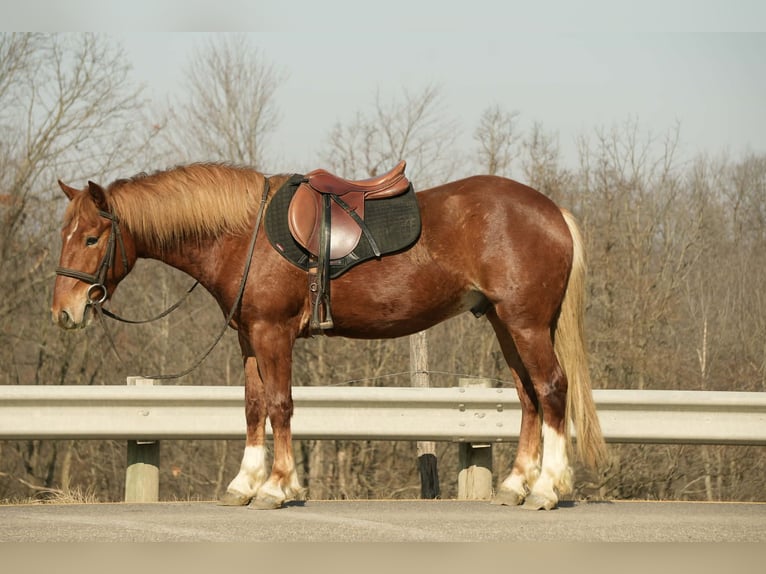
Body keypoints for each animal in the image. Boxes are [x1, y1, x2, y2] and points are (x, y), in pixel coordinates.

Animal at [51, 162, 607, 510]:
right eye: (65, 234)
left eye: (93, 238)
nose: (64, 312)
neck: (245, 234)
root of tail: (553, 212)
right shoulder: (249, 339)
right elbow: (253, 408)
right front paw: (244, 484)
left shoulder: (273, 334)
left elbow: (280, 405)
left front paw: (277, 487)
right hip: (503, 323)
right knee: (528, 397)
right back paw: (516, 485)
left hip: (525, 324)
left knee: (552, 390)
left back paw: (547, 489)